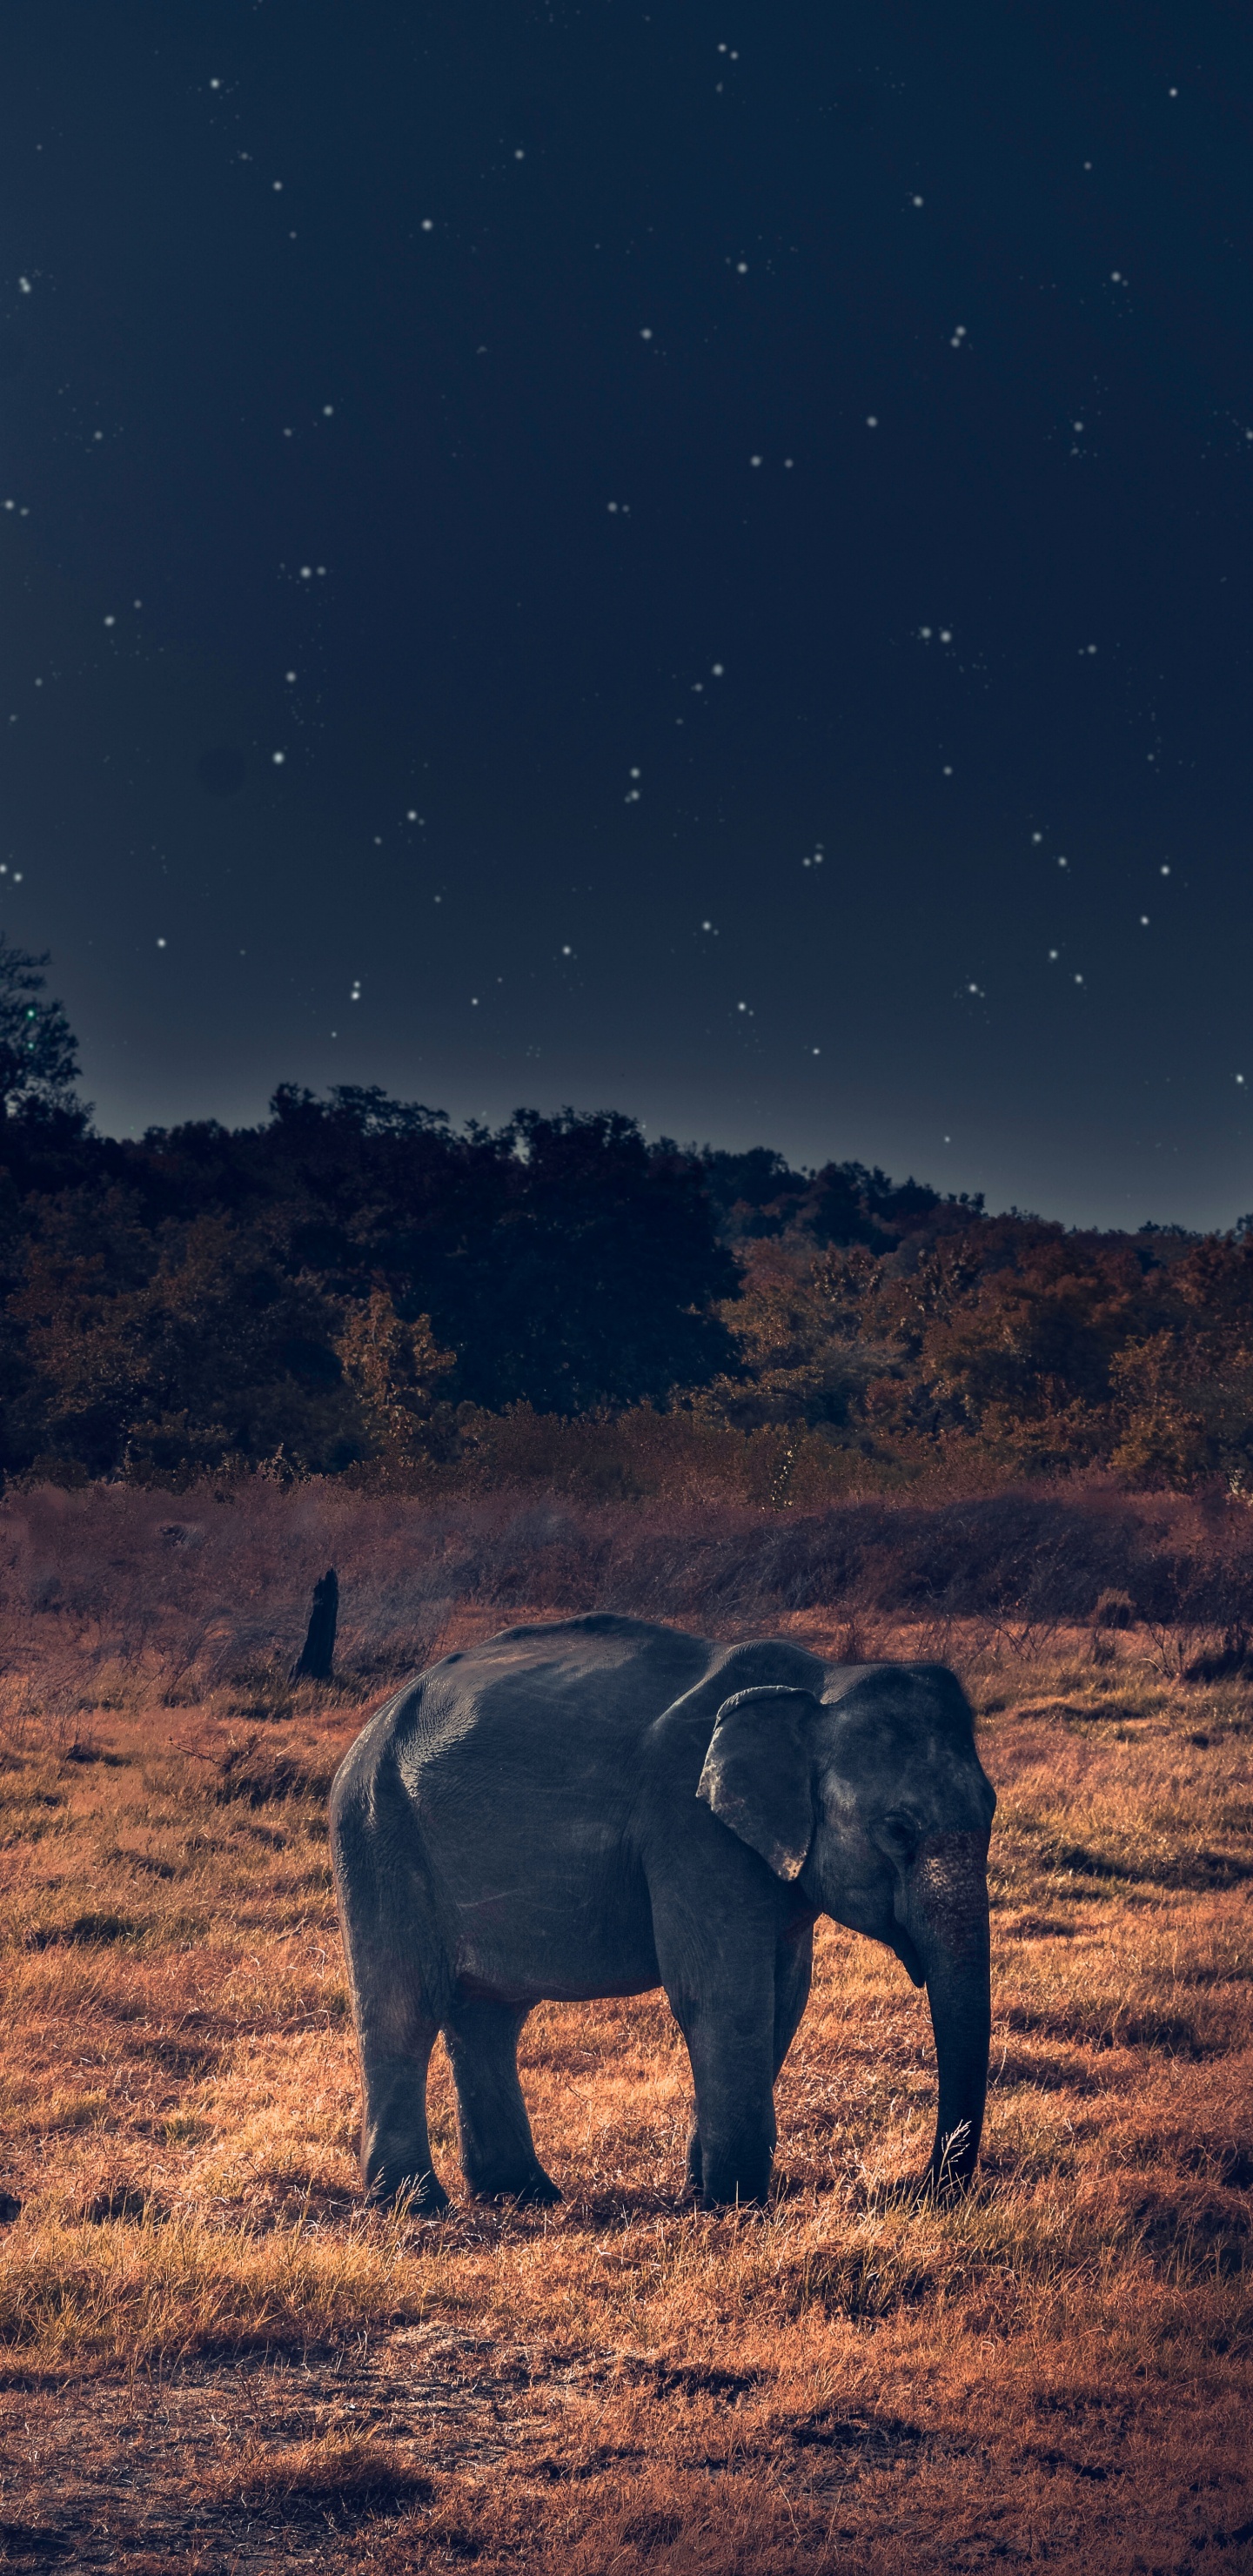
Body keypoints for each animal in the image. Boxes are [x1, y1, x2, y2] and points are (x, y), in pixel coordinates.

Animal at [330, 1614, 995, 2212]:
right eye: (898, 1829)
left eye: (991, 1811)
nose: (921, 2189)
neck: (819, 1685)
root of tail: (373, 1727)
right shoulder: (690, 1830)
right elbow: (723, 1993)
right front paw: (734, 2207)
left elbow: (785, 1995)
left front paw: (704, 2193)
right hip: (377, 1833)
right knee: (404, 2007)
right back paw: (417, 2206)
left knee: (489, 2015)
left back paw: (522, 2196)